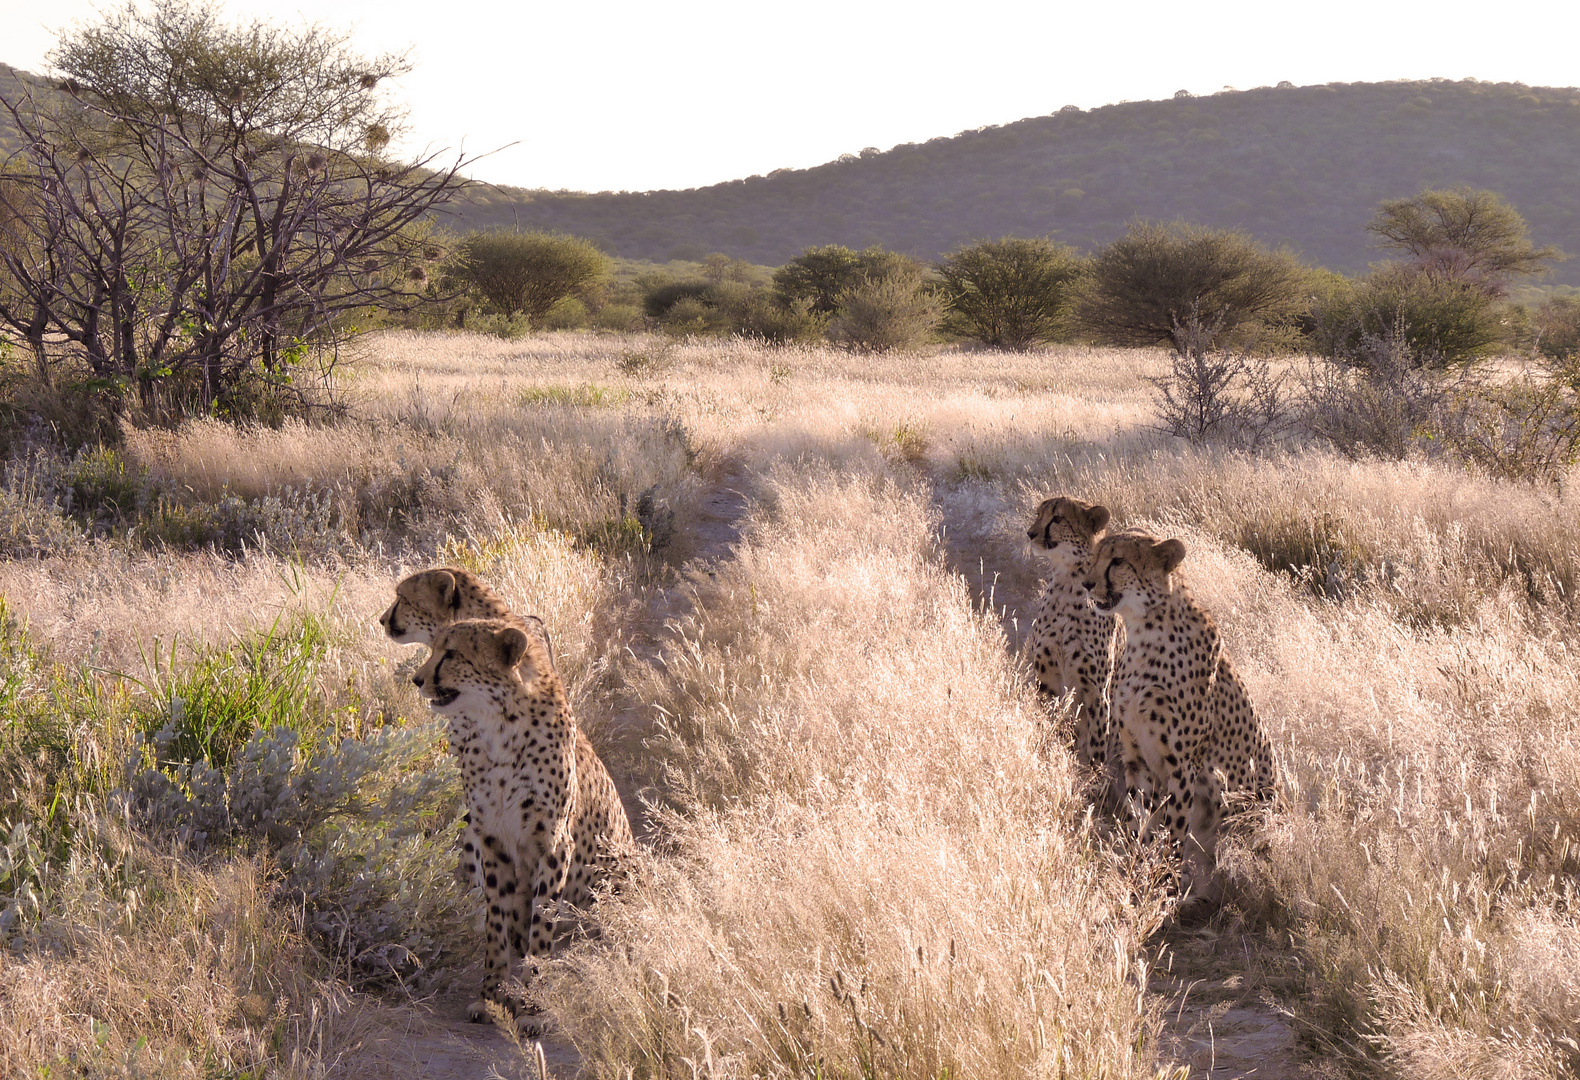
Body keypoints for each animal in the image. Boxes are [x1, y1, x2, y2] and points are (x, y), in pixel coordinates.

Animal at [413, 618, 635, 1023]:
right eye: (433, 648)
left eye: (451, 653)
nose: (417, 679)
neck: (499, 728)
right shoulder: (492, 840)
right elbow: (495, 924)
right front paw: (491, 996)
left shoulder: (554, 844)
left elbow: (542, 923)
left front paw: (533, 1005)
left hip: (618, 871)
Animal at [1023, 498, 1124, 776]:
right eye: (1038, 514)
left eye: (1058, 518)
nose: (1030, 533)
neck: (1067, 582)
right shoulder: (1046, 680)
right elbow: (1049, 725)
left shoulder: (1096, 692)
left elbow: (1096, 745)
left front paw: (1092, 779)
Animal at [1080, 527, 1276, 909]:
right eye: (1095, 556)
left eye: (1118, 560)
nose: (1086, 583)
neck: (1143, 630)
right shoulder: (1137, 760)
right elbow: (1138, 824)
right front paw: (1136, 875)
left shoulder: (1183, 765)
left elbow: (1174, 831)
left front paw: (1164, 889)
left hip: (1248, 812)